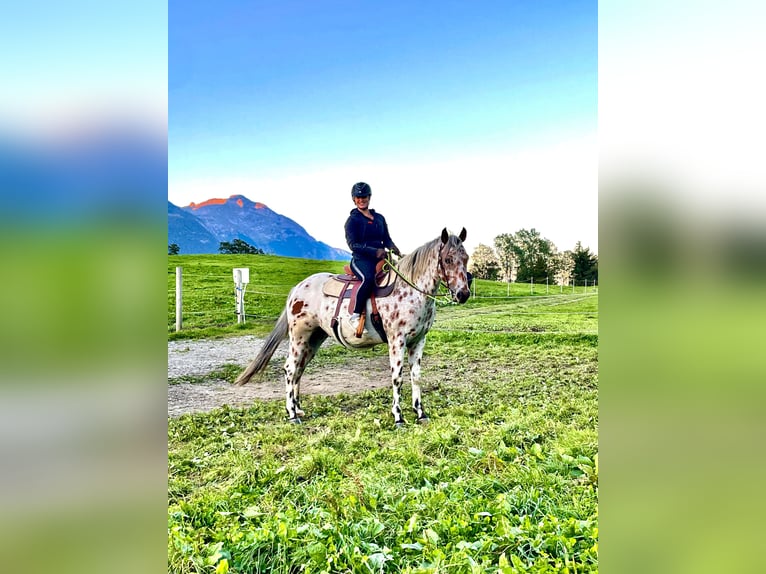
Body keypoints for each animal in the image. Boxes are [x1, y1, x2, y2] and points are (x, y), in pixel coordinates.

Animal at [234, 227, 471, 426]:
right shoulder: (397, 340)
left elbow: (416, 376)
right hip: (299, 337)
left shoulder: (419, 340)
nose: (463, 294)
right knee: (290, 369)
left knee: (299, 370)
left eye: (466, 258)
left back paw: (298, 408)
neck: (410, 291)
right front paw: (398, 417)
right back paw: (292, 414)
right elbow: (397, 377)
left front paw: (420, 413)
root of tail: (298, 288)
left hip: (314, 339)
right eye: (448, 259)